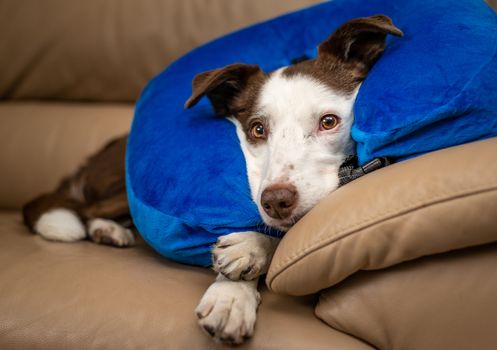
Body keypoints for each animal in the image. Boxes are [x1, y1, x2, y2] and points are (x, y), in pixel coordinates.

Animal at [24, 15, 404, 344]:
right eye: (257, 129)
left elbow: (291, 240)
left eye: (328, 122)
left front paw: (246, 256)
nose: (275, 202)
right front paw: (233, 290)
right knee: (84, 208)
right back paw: (107, 229)